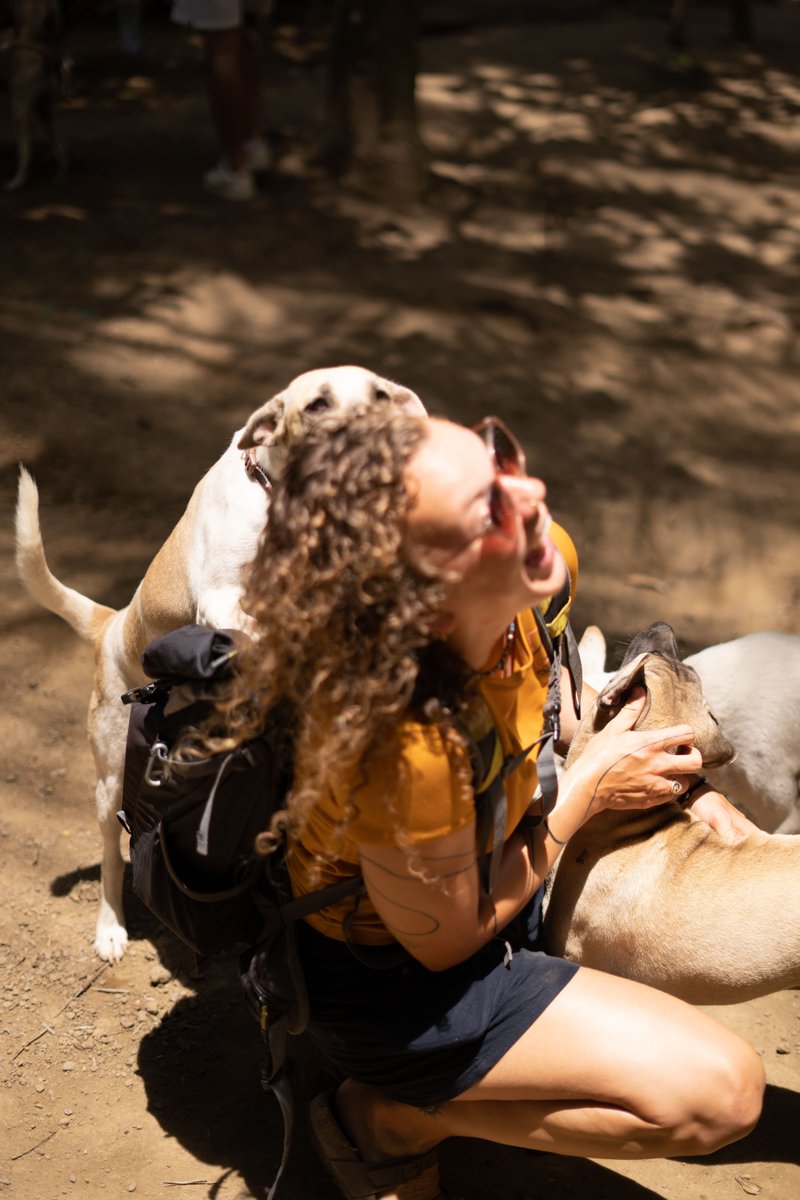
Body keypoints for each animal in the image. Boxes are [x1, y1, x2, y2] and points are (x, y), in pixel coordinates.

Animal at [15, 360, 424, 960]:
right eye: (319, 405)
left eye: (380, 396)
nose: (374, 434)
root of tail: (112, 623)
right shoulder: (225, 597)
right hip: (109, 782)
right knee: (112, 860)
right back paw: (110, 929)